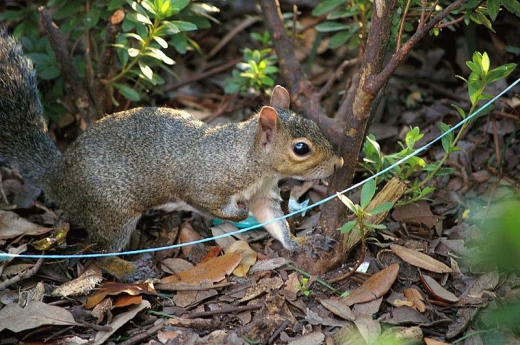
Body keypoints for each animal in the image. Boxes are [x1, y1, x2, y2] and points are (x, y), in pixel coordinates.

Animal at [1, 30, 346, 276]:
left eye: (315, 125)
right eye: (300, 148)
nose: (338, 162)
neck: (250, 161)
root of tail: (58, 175)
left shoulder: (263, 194)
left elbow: (274, 221)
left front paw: (300, 241)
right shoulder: (203, 184)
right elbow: (208, 202)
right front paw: (238, 213)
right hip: (112, 211)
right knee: (97, 253)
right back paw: (128, 269)